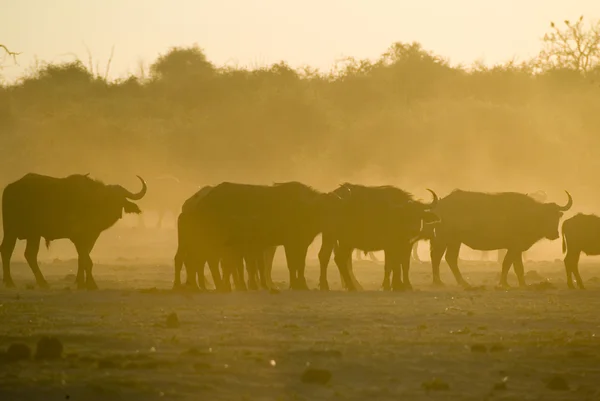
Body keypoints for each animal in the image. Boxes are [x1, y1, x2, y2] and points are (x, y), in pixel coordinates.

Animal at [0, 172, 146, 288]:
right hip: (11, 230)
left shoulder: (91, 238)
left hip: (33, 234)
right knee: (7, 250)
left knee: (30, 254)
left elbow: (82, 259)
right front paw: (91, 284)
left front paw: (80, 282)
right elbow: (87, 260)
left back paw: (42, 282)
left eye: (121, 198)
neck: (91, 205)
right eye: (108, 197)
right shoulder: (77, 238)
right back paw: (10, 282)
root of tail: (9, 188)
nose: (115, 212)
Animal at [426, 188, 572, 286]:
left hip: (454, 241)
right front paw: (504, 283)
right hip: (444, 238)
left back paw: (457, 282)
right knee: (437, 256)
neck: (526, 215)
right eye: (544, 216)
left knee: (448, 258)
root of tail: (439, 205)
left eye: (556, 217)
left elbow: (517, 267)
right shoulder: (513, 247)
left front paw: (522, 283)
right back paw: (440, 281)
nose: (555, 234)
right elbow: (507, 263)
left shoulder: (517, 249)